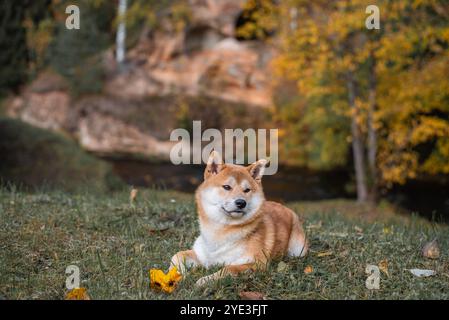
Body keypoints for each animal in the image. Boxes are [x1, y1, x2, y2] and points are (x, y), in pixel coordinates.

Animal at [170, 151, 306, 286]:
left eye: (247, 190)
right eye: (226, 187)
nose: (241, 203)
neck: (221, 231)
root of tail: (285, 207)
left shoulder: (257, 263)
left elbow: (228, 268)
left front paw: (204, 280)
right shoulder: (201, 255)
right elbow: (176, 255)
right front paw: (178, 275)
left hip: (297, 249)